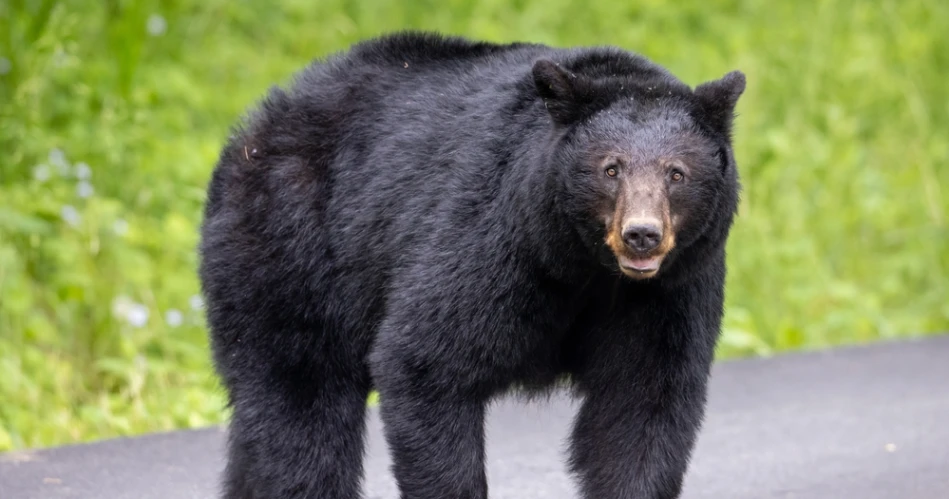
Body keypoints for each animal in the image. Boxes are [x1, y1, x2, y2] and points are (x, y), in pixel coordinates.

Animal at [198, 31, 745, 499]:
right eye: (610, 168)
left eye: (677, 173)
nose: (641, 234)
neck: (586, 269)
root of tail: (260, 122)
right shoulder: (494, 245)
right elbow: (426, 360)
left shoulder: (668, 292)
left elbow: (643, 403)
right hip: (292, 246)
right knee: (300, 404)